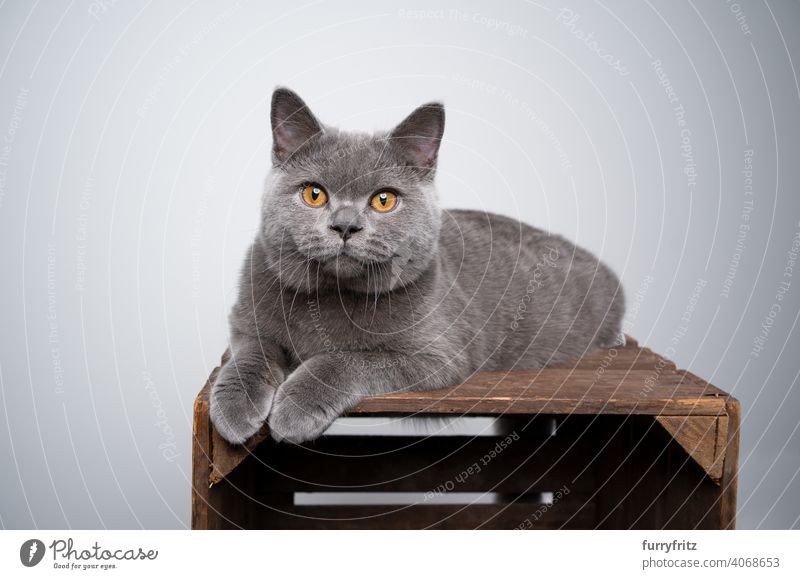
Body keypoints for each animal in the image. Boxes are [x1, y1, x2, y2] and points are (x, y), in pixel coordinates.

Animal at [209, 88, 620, 446]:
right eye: (314, 194)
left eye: (384, 200)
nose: (345, 225)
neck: (331, 295)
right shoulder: (244, 320)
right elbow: (251, 353)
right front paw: (234, 408)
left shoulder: (437, 355)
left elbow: (345, 359)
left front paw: (295, 409)